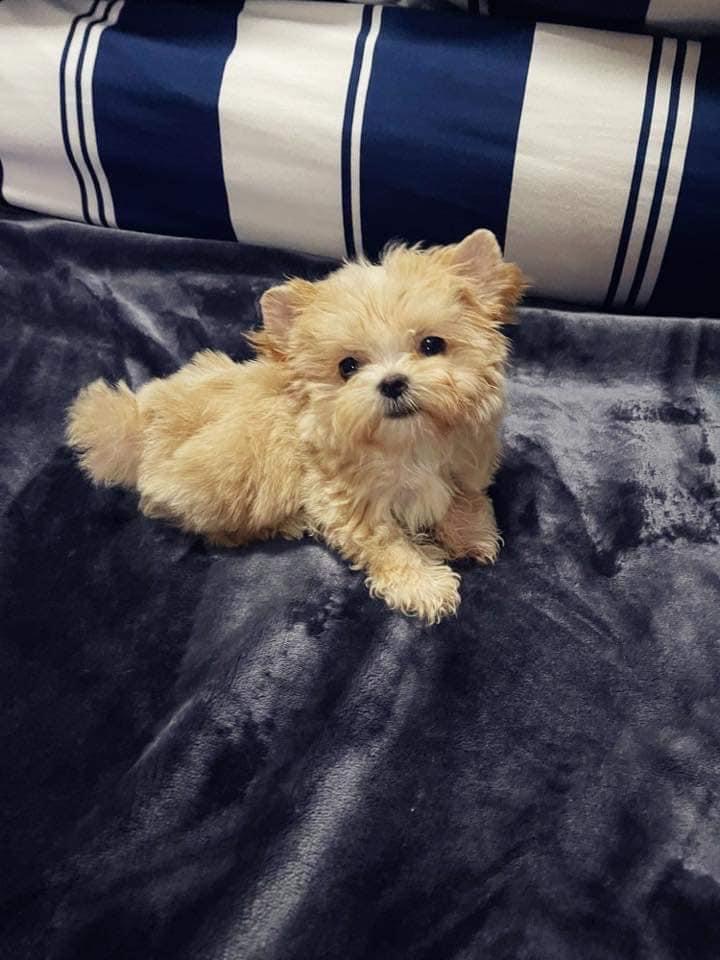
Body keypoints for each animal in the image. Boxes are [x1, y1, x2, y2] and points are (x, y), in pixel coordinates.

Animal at [67, 229, 524, 622]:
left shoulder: (462, 460)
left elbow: (463, 497)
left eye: (432, 345)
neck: (408, 445)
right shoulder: (343, 500)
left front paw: (470, 534)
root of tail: (140, 425)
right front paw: (423, 584)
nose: (393, 382)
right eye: (347, 367)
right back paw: (285, 523)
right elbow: (387, 544)